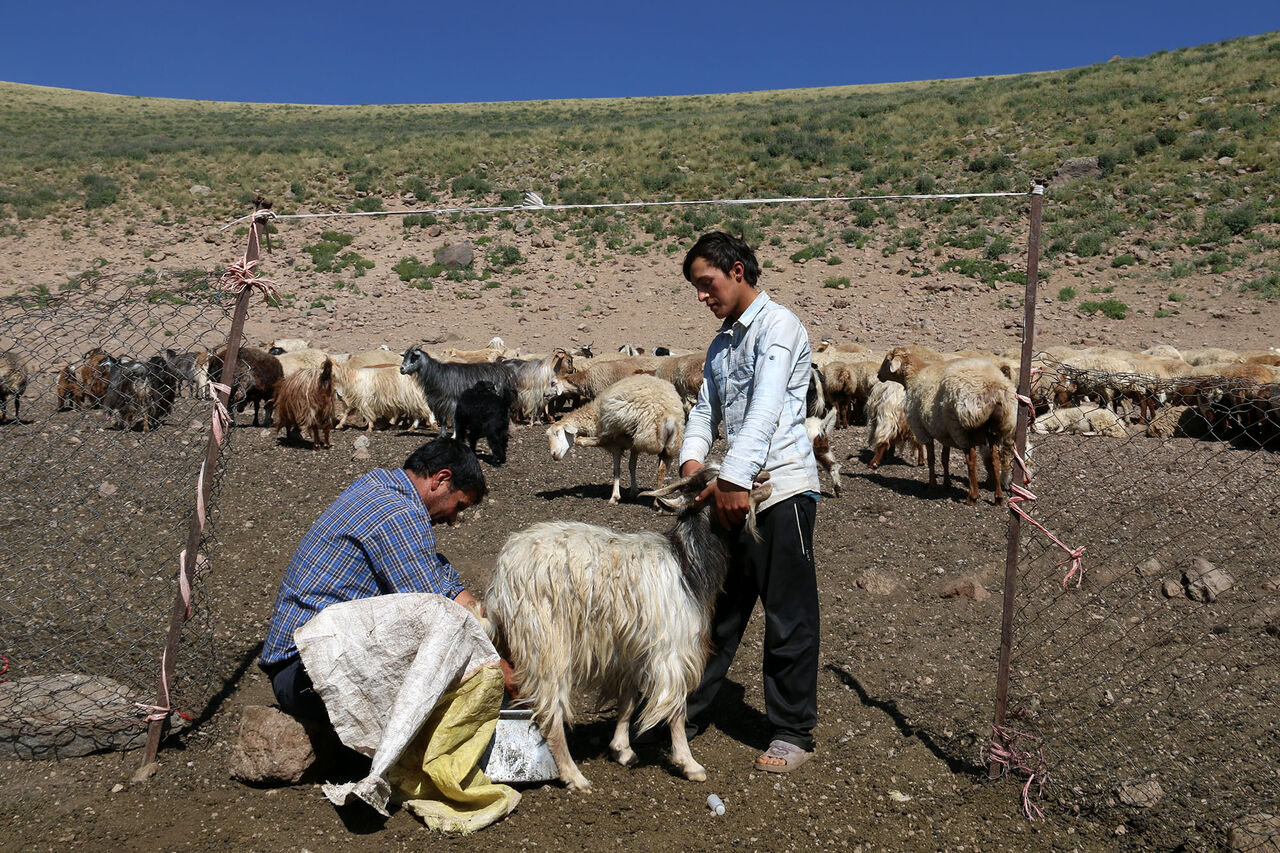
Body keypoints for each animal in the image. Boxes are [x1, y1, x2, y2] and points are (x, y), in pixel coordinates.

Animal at [552, 373, 691, 504]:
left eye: (557, 432)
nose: (553, 455)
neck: (595, 416)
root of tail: (669, 416)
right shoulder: (635, 445)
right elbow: (632, 466)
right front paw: (633, 491)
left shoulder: (619, 444)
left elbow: (616, 469)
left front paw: (615, 497)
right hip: (669, 446)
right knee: (661, 469)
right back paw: (657, 501)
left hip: (646, 437)